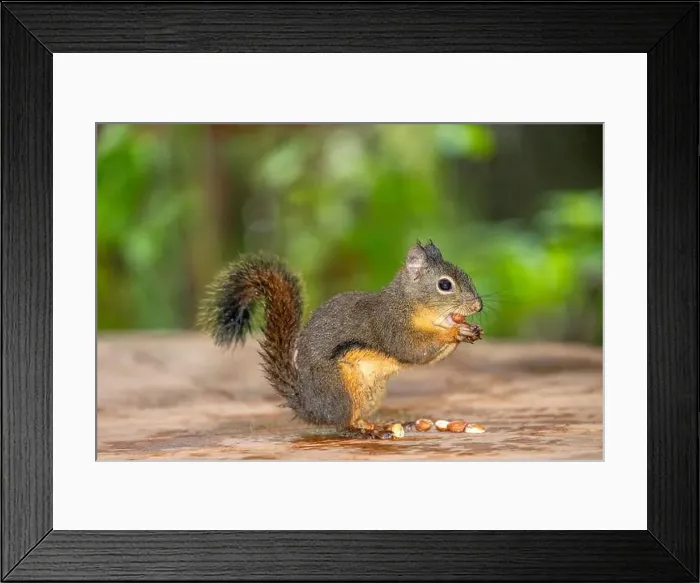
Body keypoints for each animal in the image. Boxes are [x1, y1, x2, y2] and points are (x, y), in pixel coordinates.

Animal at [197, 240, 483, 439]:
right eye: (445, 285)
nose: (478, 305)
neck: (409, 304)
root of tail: (309, 406)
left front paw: (470, 330)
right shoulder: (391, 325)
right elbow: (413, 350)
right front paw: (455, 332)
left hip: (370, 394)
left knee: (355, 419)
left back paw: (380, 425)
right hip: (341, 388)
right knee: (343, 425)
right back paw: (367, 432)